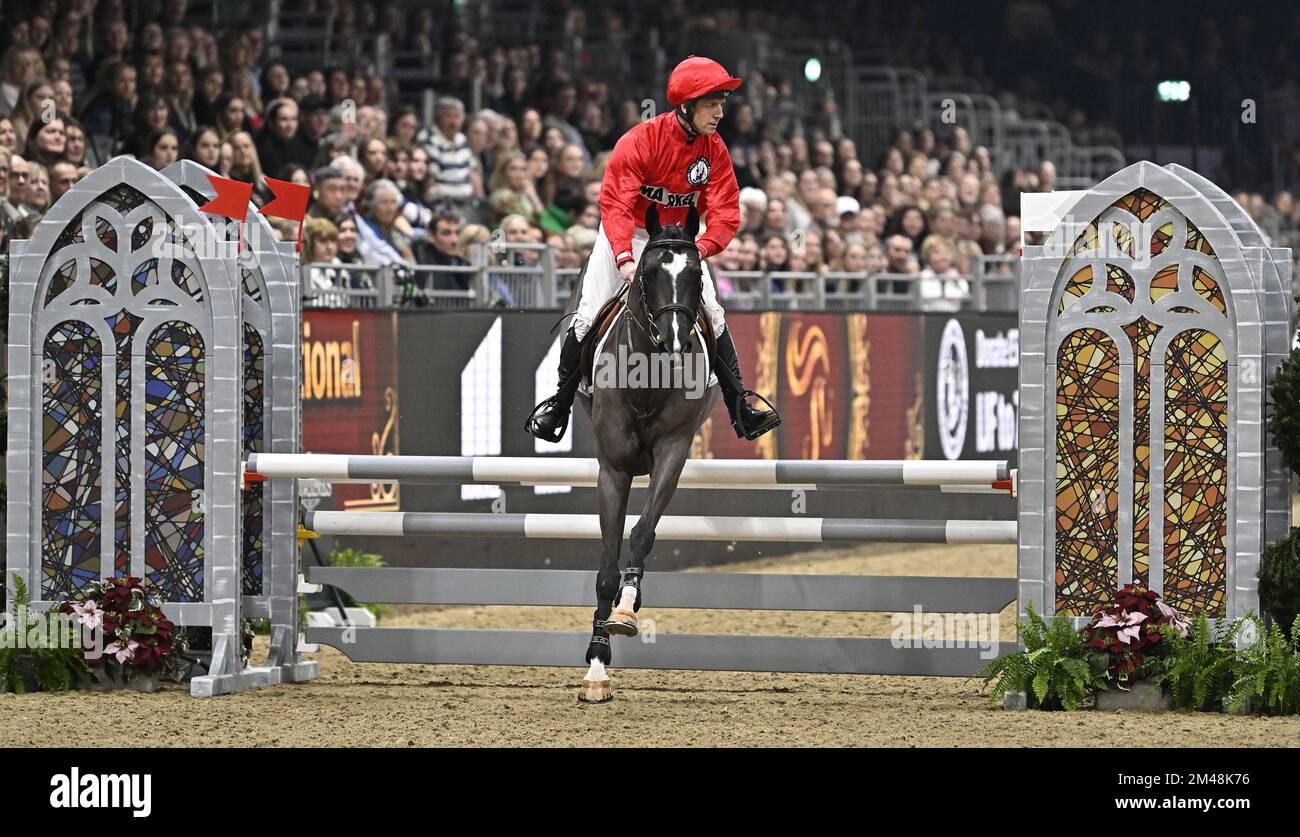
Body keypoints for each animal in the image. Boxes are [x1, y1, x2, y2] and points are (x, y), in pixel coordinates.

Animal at [582, 205, 722, 701]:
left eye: (696, 273)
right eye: (647, 273)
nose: (676, 342)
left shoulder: (673, 454)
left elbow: (641, 534)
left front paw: (627, 607)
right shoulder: (613, 469)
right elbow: (605, 567)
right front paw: (597, 664)